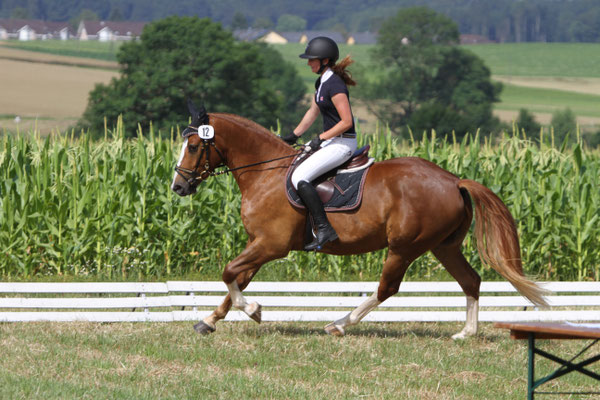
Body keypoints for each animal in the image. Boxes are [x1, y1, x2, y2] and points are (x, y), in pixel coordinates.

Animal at [170, 101, 548, 340]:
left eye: (194, 146)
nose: (178, 187)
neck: (265, 173)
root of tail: (453, 180)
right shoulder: (259, 244)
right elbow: (238, 278)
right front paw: (209, 320)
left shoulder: (271, 245)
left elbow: (229, 272)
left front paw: (253, 310)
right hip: (444, 247)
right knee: (470, 281)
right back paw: (466, 333)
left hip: (405, 247)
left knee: (387, 289)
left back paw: (338, 324)